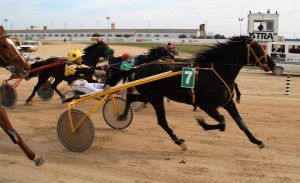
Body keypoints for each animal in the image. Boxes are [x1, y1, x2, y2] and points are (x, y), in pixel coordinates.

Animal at [109, 36, 274, 151]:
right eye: (258, 48)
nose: (272, 63)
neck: (218, 72)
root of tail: (137, 68)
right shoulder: (207, 105)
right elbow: (222, 122)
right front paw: (202, 123)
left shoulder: (228, 103)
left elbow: (241, 123)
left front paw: (258, 141)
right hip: (155, 97)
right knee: (162, 121)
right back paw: (180, 143)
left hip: (148, 94)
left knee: (130, 97)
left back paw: (122, 116)